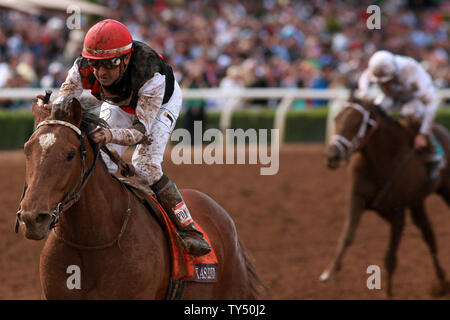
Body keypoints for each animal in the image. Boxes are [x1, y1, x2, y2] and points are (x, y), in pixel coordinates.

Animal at [318, 99, 450, 296]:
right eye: (336, 118)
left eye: (357, 123)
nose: (332, 156)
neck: (379, 161)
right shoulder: (356, 198)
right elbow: (347, 235)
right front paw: (330, 271)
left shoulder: (398, 212)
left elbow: (390, 258)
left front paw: (387, 293)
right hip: (417, 203)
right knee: (429, 235)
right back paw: (441, 284)